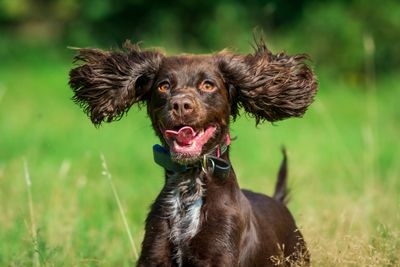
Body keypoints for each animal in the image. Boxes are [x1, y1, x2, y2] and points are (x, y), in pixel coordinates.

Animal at [69, 38, 318, 267]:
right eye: (164, 86)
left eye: (208, 85)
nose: (181, 105)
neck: (189, 183)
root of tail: (278, 201)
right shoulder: (154, 254)